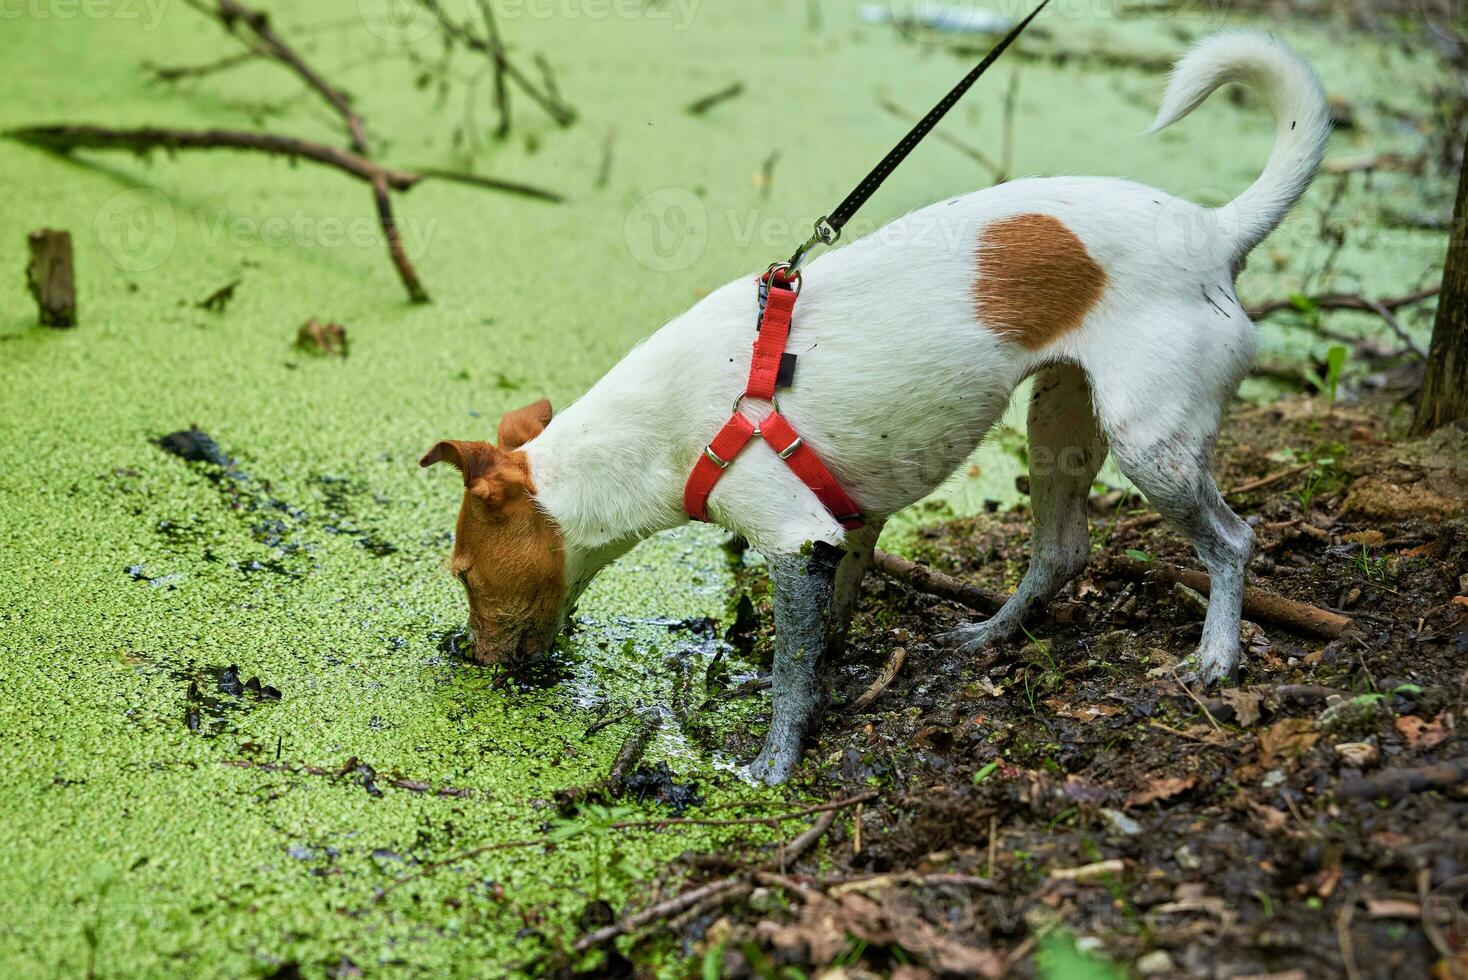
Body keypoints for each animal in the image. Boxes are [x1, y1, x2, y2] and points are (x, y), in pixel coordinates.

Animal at [422, 30, 1332, 786]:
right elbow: (821, 635)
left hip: (1151, 443)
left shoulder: (792, 538)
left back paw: (1216, 655)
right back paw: (992, 634)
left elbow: (793, 676)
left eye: (462, 574)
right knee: (1064, 549)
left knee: (1231, 541)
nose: (465, 658)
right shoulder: (845, 527)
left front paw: (773, 764)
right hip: (1060, 423)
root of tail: (1214, 233)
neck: (651, 434)